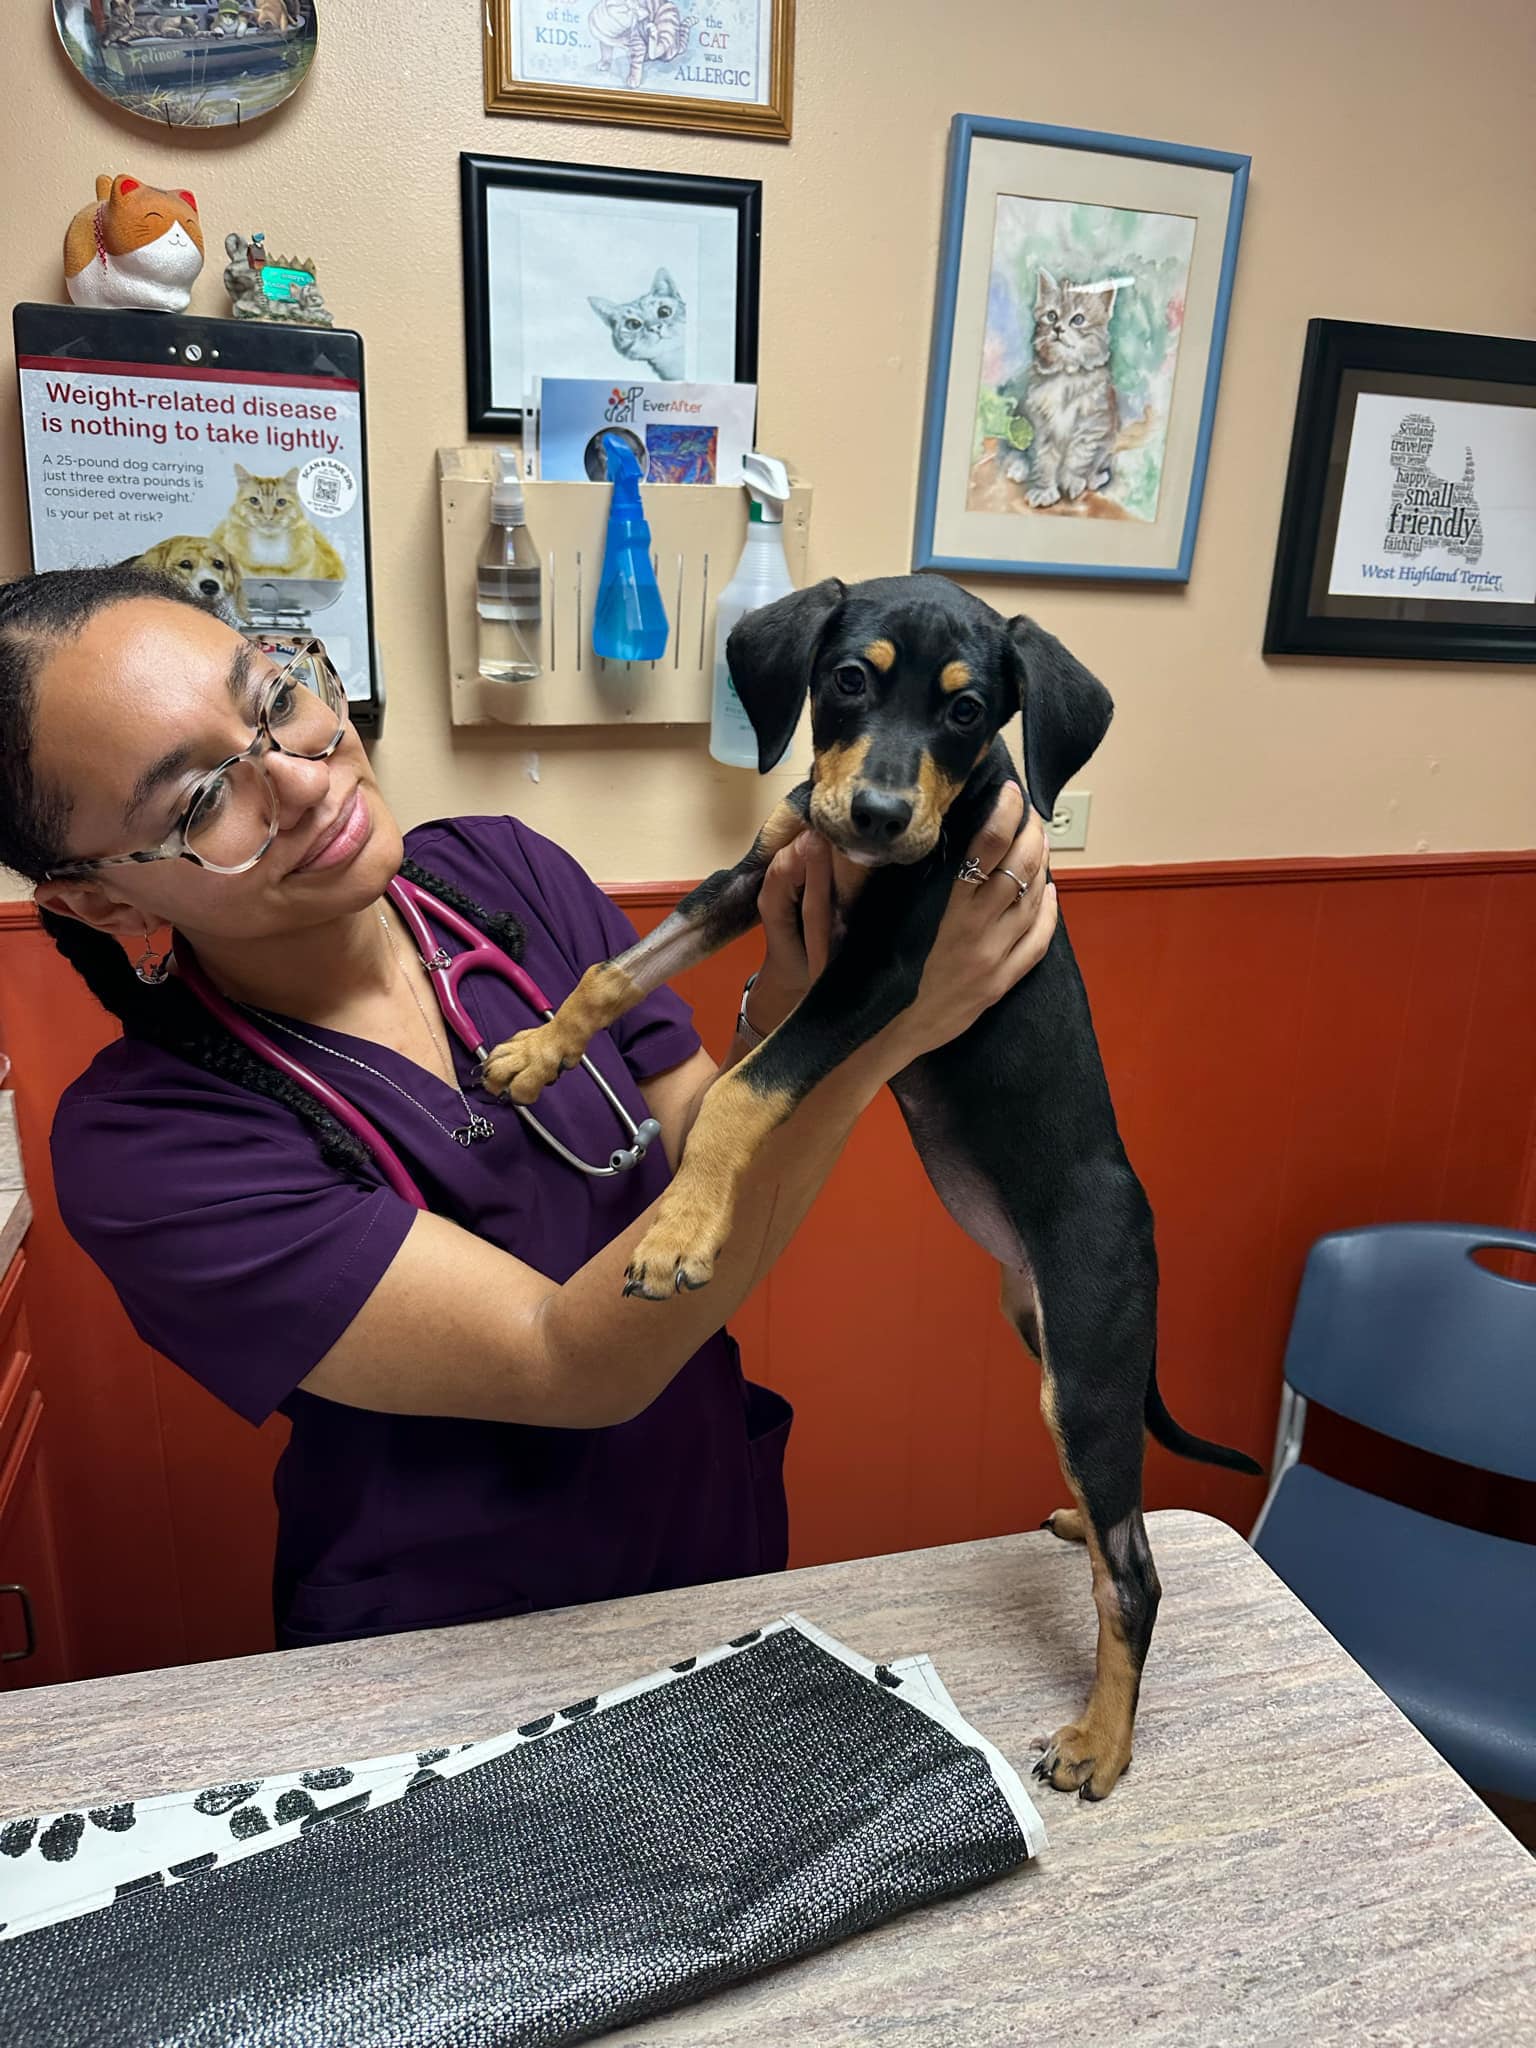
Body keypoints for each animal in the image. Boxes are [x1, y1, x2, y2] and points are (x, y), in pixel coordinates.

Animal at [483, 573, 1261, 1794]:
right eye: (849, 678)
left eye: (969, 709)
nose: (882, 817)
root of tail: (1142, 1227)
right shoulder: (759, 872)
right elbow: (614, 973)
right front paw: (534, 1053)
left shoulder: (881, 973)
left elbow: (744, 1089)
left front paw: (677, 1230)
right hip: (1051, 1343)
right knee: (1117, 1522)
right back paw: (1078, 1534)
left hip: (1087, 1367)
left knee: (1135, 1572)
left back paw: (1103, 1741)